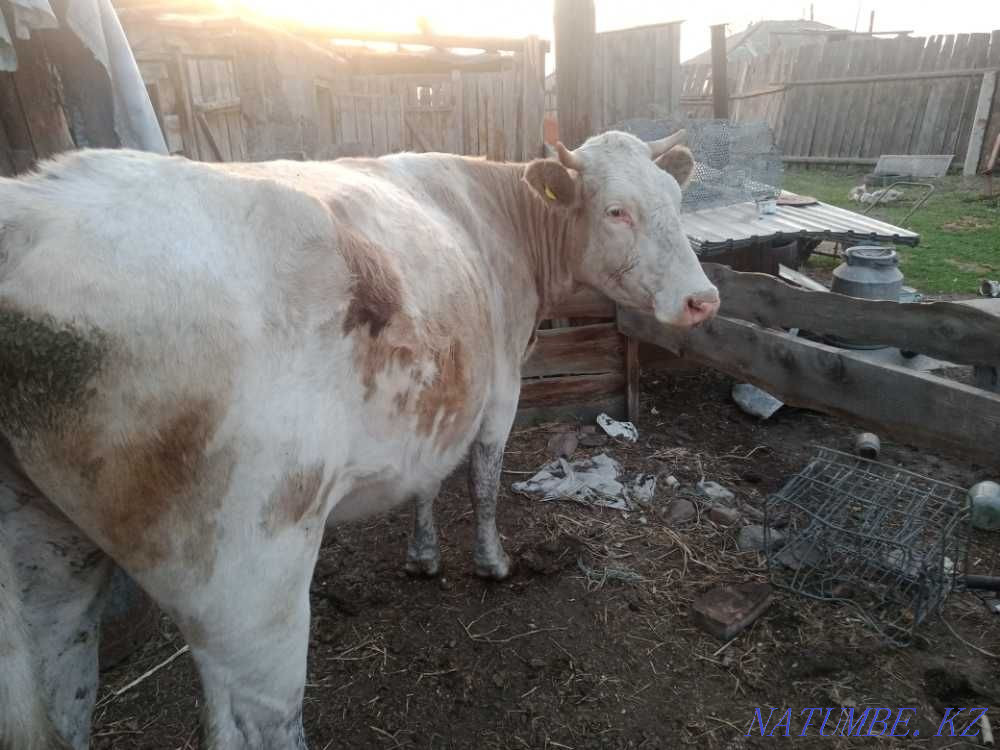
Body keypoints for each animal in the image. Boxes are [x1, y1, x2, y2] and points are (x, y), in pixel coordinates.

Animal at [0, 128, 719, 750]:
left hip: (49, 567)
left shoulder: (437, 405)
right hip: (249, 575)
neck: (496, 215)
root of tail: (32, 210)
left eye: (675, 198)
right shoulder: (500, 390)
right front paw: (491, 562)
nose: (703, 298)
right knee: (258, 721)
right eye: (618, 211)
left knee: (66, 697)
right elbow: (484, 482)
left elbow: (428, 482)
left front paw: (423, 555)